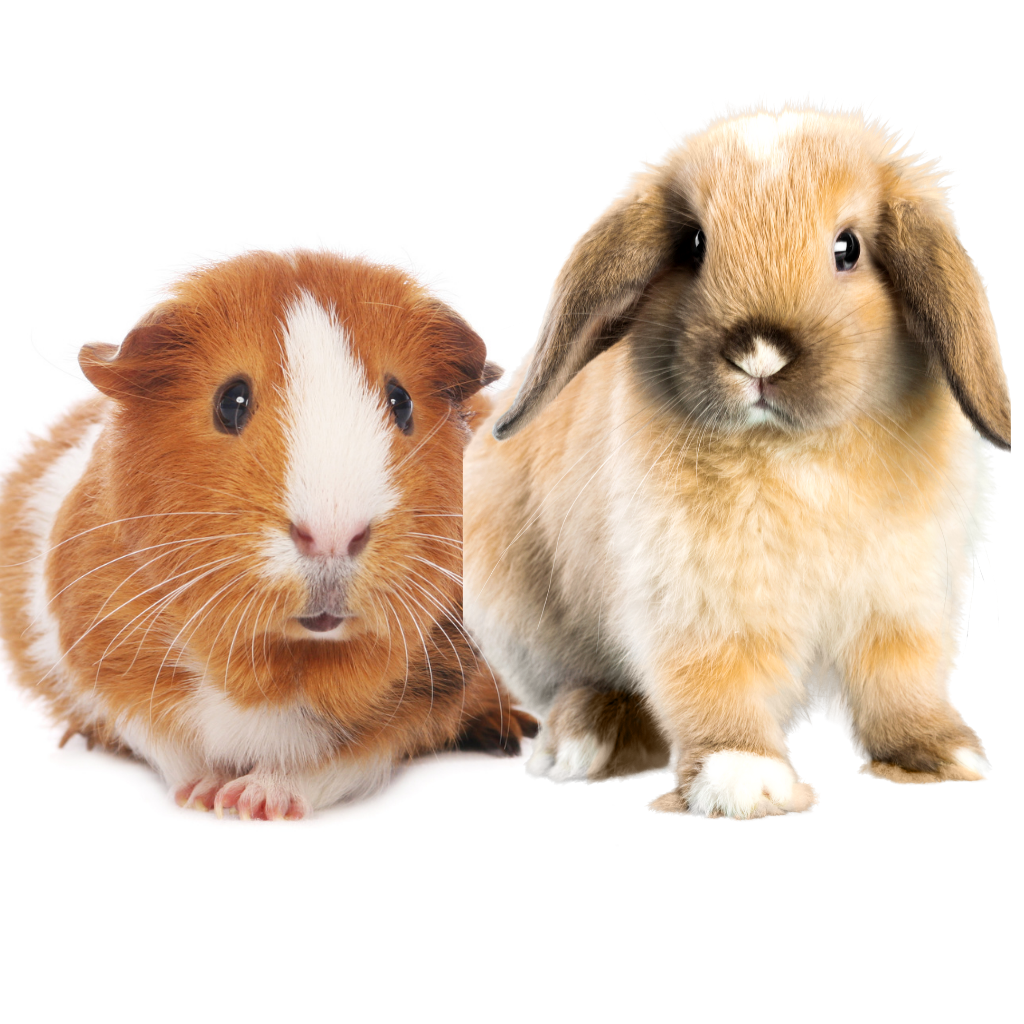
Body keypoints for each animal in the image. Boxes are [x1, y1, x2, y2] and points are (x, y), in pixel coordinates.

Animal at [0, 249, 535, 819]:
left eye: (402, 402)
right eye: (230, 401)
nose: (332, 534)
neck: (284, 663)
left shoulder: (422, 695)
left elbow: (330, 762)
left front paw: (250, 801)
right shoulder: (104, 655)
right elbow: (169, 747)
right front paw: (204, 796)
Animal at [464, 110, 1010, 818]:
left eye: (849, 248)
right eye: (694, 244)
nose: (760, 351)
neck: (792, 451)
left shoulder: (902, 601)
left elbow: (901, 682)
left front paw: (940, 754)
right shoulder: (694, 604)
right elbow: (712, 683)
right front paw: (742, 779)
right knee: (580, 684)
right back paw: (587, 740)